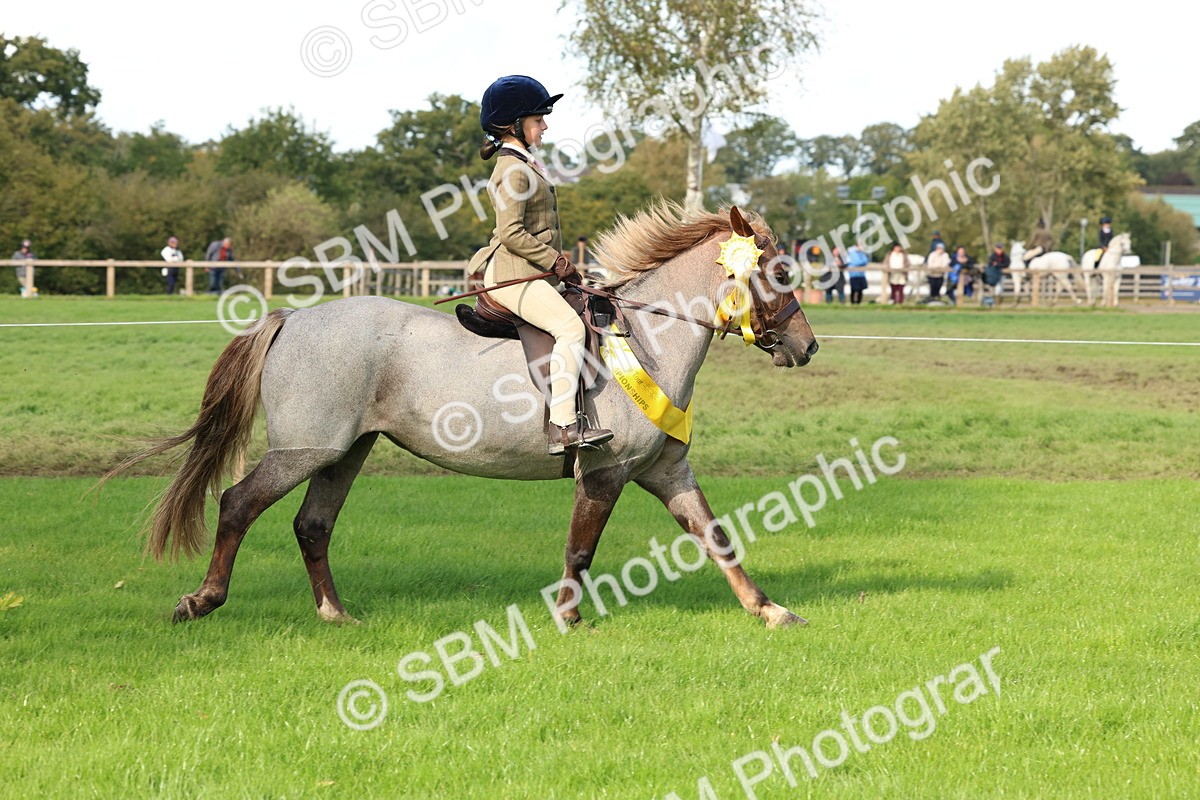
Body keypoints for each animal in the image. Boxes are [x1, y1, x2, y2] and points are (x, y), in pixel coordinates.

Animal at [109, 204, 819, 630]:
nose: (807, 347)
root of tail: (293, 317)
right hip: (304, 450)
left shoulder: (667, 470)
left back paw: (335, 614)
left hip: (347, 452)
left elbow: (716, 537)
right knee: (238, 504)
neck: (647, 337)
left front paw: (770, 610)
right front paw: (568, 617)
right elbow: (581, 548)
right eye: (778, 272)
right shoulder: (605, 471)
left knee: (312, 525)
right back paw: (202, 601)